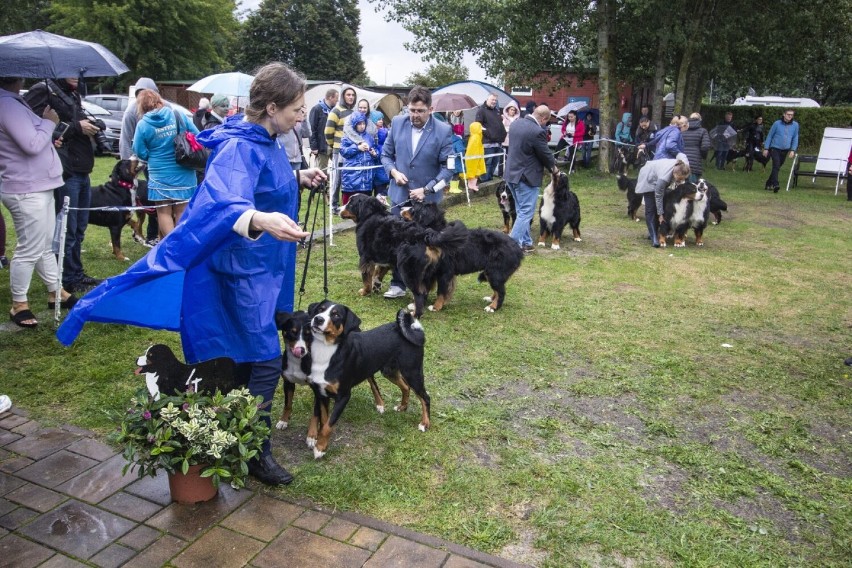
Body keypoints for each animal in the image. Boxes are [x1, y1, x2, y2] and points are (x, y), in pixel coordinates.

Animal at [304, 302, 430, 458]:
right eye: (320, 309)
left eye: (336, 315)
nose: (318, 319)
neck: (326, 351)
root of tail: (414, 330)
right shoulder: (321, 394)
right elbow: (323, 420)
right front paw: (318, 442)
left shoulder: (343, 396)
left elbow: (329, 425)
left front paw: (320, 449)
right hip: (389, 371)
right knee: (405, 387)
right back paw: (402, 407)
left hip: (412, 373)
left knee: (425, 397)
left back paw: (424, 423)